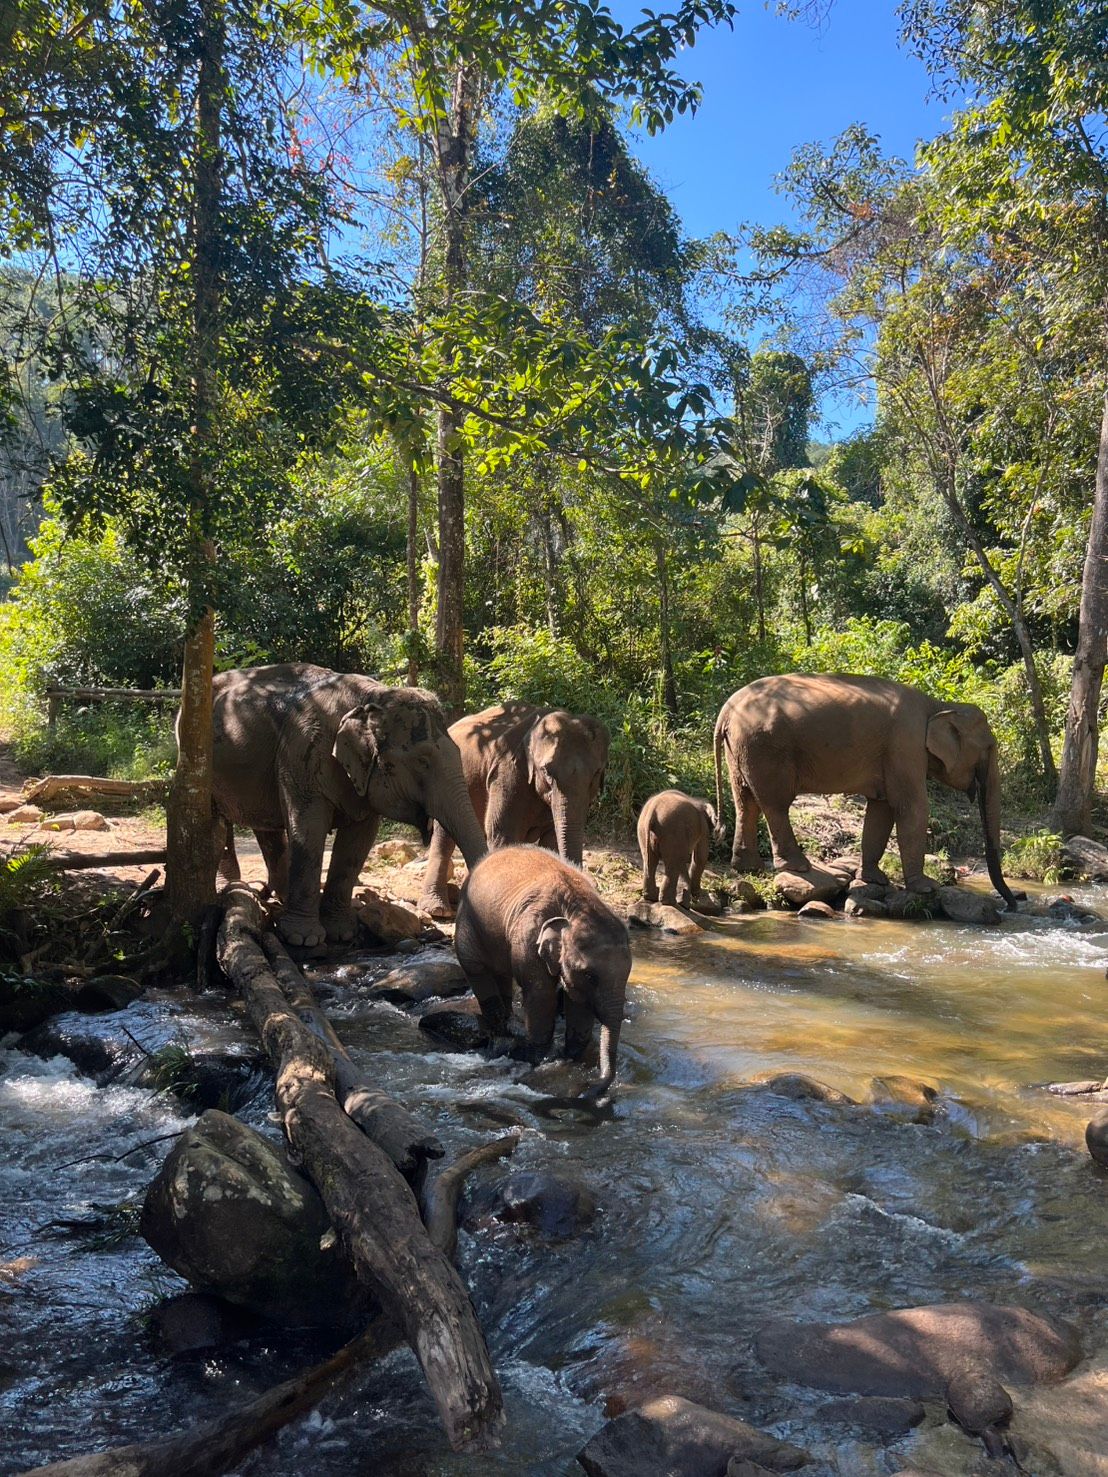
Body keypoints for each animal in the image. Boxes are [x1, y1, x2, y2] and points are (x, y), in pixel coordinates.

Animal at [207, 663, 488, 948]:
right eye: (422, 761)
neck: (372, 696)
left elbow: (358, 840)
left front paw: (342, 933)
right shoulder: (303, 753)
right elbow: (308, 829)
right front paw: (303, 939)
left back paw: (278, 895)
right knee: (218, 820)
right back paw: (231, 888)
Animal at [417, 701, 609, 918]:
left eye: (597, 772)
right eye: (546, 771)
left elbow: (551, 841)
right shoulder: (507, 773)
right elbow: (502, 833)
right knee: (444, 838)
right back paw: (437, 910)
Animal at [454, 845, 631, 1099]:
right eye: (590, 976)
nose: (586, 1091)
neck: (577, 906)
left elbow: (578, 1001)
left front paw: (569, 1057)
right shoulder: (529, 935)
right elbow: (541, 995)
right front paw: (536, 1059)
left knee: (502, 974)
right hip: (468, 922)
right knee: (476, 969)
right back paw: (502, 1035)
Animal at [712, 673, 1018, 909]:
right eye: (989, 749)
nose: (1012, 905)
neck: (939, 705)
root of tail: (726, 710)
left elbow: (881, 809)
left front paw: (874, 880)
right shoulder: (905, 745)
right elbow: (912, 807)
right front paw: (926, 888)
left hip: (741, 748)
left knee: (745, 801)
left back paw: (748, 868)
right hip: (765, 747)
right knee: (775, 804)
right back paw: (797, 867)